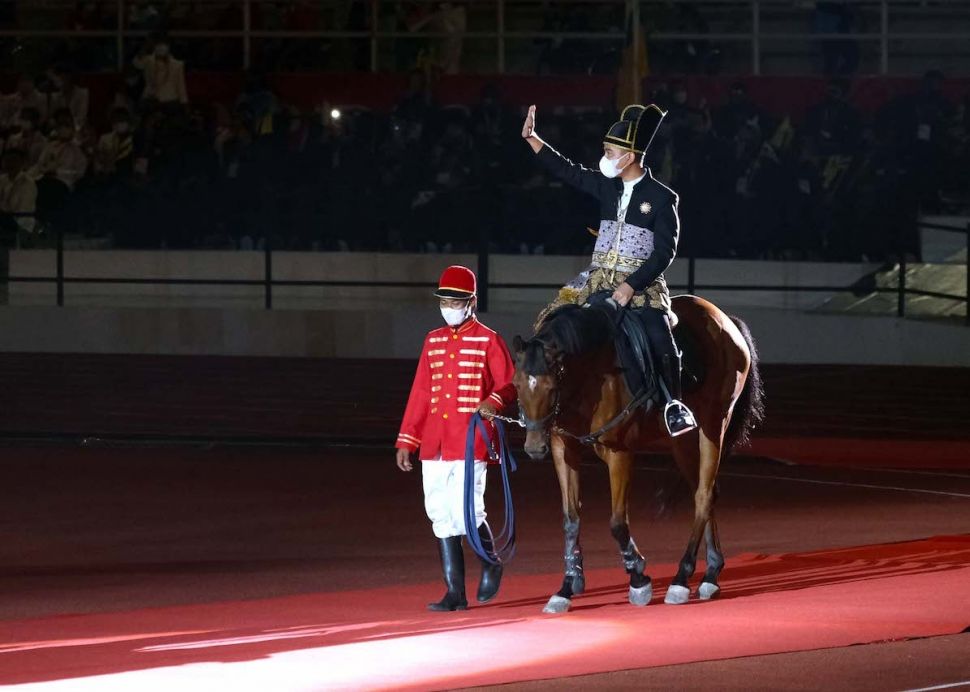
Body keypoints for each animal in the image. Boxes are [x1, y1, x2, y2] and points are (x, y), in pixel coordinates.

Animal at [510, 294, 760, 612]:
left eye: (552, 386)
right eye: (517, 384)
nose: (533, 447)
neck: (592, 369)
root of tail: (726, 320)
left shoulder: (619, 453)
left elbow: (617, 523)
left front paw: (639, 579)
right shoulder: (563, 449)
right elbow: (570, 519)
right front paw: (566, 587)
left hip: (714, 425)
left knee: (704, 496)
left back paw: (681, 579)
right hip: (682, 442)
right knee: (707, 492)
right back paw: (711, 575)